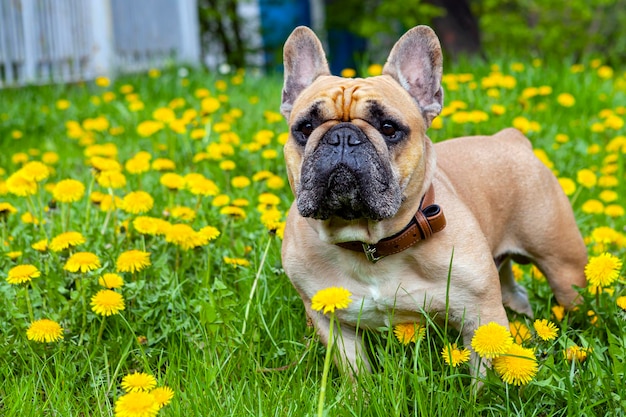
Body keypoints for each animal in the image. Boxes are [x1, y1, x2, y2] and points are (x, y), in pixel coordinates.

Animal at [278, 24, 584, 372]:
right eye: (305, 127)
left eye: (389, 128)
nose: (343, 136)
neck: (372, 244)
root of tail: (512, 138)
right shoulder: (332, 323)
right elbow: (356, 370)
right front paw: (361, 386)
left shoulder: (481, 317)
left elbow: (483, 375)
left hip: (564, 266)